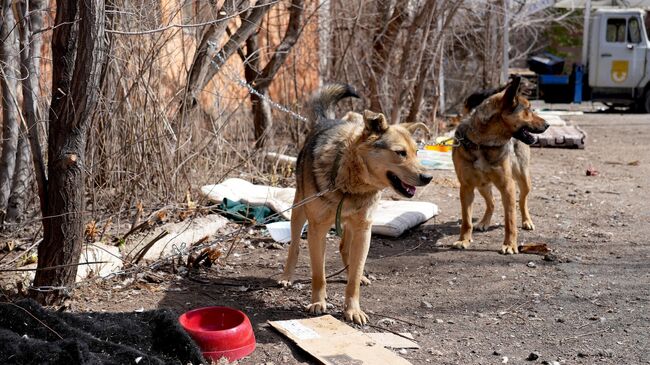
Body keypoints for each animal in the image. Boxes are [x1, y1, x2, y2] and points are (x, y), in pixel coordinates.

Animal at [278, 84, 430, 322]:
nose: (428, 177)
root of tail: (325, 121)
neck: (350, 182)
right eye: (400, 153)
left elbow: (354, 277)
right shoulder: (317, 230)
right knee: (294, 245)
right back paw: (287, 276)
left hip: (350, 224)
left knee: (344, 248)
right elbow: (318, 274)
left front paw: (353, 309)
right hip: (299, 210)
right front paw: (318, 303)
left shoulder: (363, 230)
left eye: (416, 152)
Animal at [450, 76, 548, 253]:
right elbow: (466, 220)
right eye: (528, 110)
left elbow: (510, 221)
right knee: (492, 203)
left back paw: (526, 221)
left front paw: (509, 244)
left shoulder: (507, 186)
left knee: (522, 201)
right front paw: (464, 240)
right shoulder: (466, 188)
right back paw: (484, 222)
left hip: (523, 180)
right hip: (482, 185)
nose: (547, 125)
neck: (483, 143)